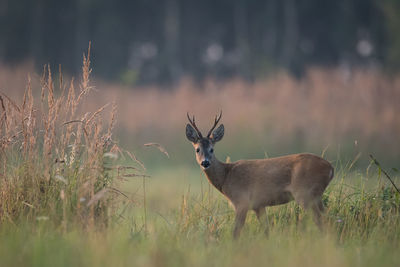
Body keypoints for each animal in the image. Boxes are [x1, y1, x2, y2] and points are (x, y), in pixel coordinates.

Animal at [187, 112, 334, 240]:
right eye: (197, 149)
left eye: (212, 149)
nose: (205, 162)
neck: (226, 176)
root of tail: (330, 168)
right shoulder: (259, 205)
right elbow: (266, 231)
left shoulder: (242, 201)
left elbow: (236, 232)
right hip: (316, 195)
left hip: (305, 193)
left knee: (321, 221)